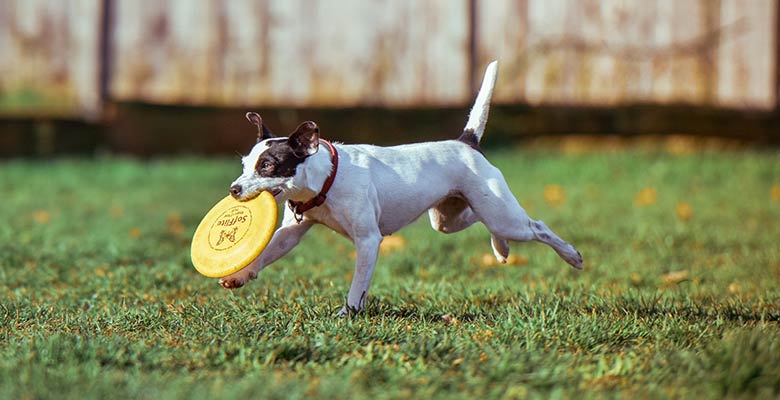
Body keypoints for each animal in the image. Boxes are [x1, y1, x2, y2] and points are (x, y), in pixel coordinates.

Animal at [218, 61, 580, 316]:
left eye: (267, 166)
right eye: (245, 165)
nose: (234, 189)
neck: (326, 180)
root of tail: (466, 142)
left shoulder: (368, 241)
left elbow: (358, 285)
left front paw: (347, 313)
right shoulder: (290, 233)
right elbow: (267, 253)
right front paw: (241, 275)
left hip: (504, 216)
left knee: (537, 227)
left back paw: (571, 256)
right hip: (449, 218)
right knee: (481, 221)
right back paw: (500, 249)